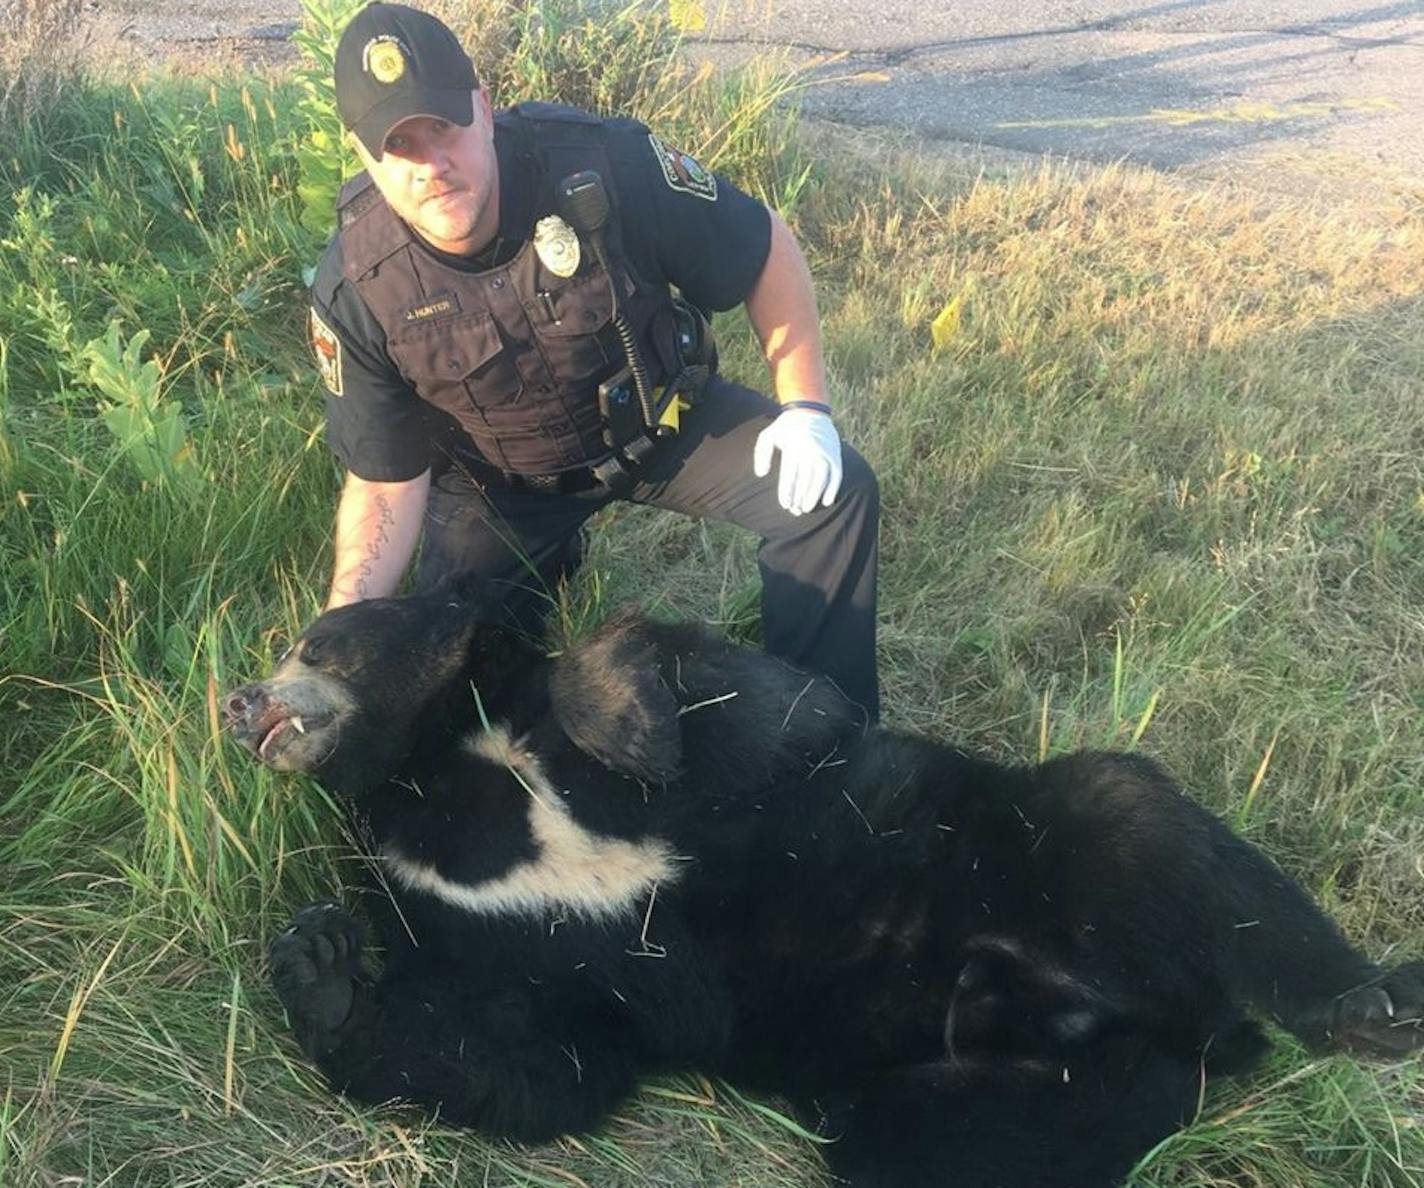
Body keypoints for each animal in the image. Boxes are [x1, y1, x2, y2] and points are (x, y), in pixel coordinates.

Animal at [227, 586, 1418, 1185]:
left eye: (315, 643)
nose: (237, 703)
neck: (437, 776)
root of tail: (1177, 1026)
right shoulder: (467, 927)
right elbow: (540, 1063)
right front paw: (320, 965)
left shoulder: (705, 745)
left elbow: (742, 694)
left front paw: (634, 729)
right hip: (948, 1104)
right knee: (921, 1153)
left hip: (1047, 844)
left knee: (1151, 829)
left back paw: (1371, 1005)